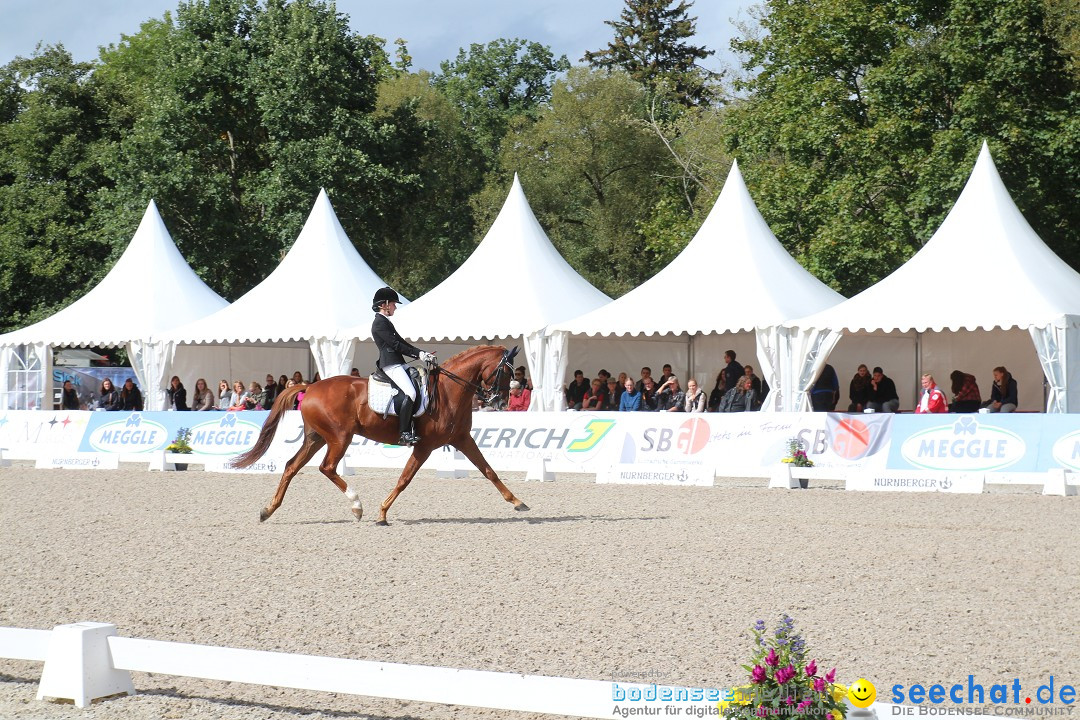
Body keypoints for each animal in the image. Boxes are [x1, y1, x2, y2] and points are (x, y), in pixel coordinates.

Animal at [234, 343, 529, 524]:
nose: (501, 402)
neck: (449, 391)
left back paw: (267, 510)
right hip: (339, 437)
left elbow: (489, 470)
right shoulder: (424, 446)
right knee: (327, 468)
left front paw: (518, 502)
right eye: (505, 372)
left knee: (291, 466)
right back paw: (356, 506)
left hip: (315, 438)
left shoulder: (462, 439)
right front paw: (382, 513)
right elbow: (404, 479)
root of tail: (311, 386)